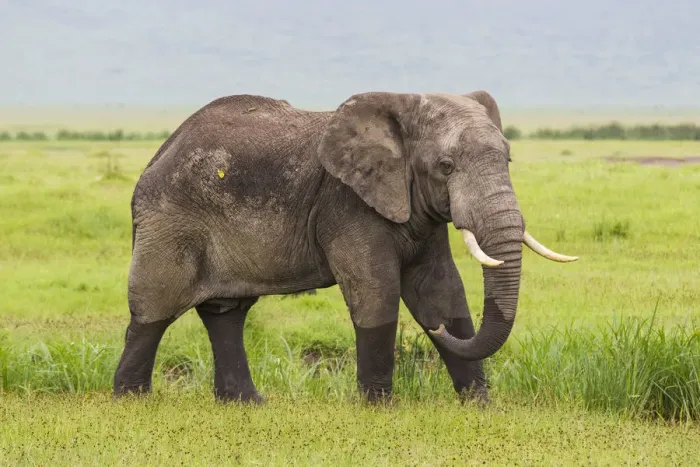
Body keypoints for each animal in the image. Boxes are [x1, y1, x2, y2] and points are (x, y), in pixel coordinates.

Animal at [114, 90, 577, 404]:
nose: (435, 332)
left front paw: (479, 406)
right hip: (170, 220)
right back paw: (132, 400)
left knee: (226, 313)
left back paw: (248, 405)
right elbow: (376, 292)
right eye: (445, 167)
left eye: (508, 160)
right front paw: (379, 408)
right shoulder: (346, 203)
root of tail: (159, 154)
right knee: (153, 310)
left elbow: (441, 289)